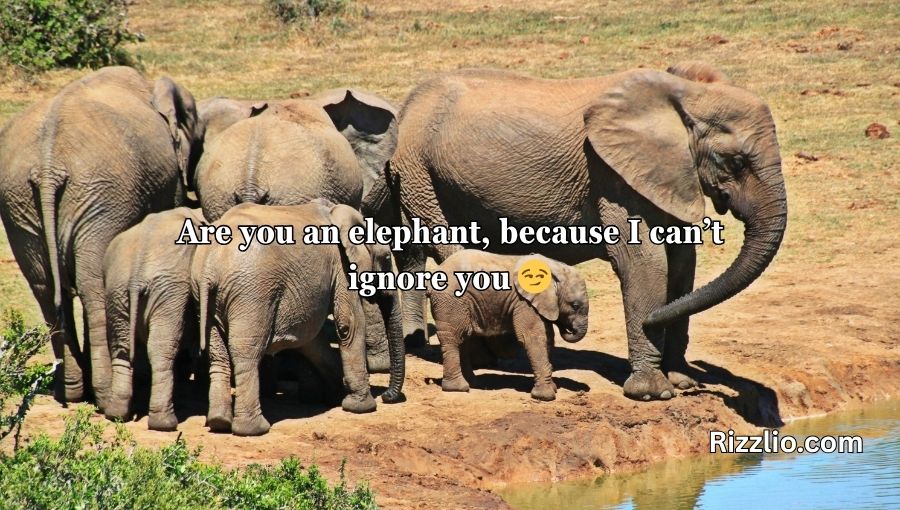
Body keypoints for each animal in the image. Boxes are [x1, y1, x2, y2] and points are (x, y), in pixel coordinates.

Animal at [0, 66, 201, 407]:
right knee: (93, 286)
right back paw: (104, 396)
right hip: (100, 197)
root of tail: (47, 167)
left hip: (21, 204)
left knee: (45, 288)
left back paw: (71, 391)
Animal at [102, 207, 206, 431]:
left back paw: (116, 414)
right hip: (169, 291)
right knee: (161, 350)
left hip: (116, 290)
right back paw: (165, 423)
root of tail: (136, 275)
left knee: (121, 348)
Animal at [190, 201, 404, 436]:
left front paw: (336, 396)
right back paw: (253, 430)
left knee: (218, 354)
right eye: (387, 258)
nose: (388, 397)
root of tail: (210, 266)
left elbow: (312, 340)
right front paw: (361, 407)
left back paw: (218, 422)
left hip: (205, 296)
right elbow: (349, 324)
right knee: (246, 353)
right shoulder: (341, 266)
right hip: (252, 293)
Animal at [428, 251, 588, 401]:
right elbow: (533, 339)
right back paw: (458, 388)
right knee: (454, 338)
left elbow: (548, 338)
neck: (555, 268)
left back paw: (473, 383)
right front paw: (546, 396)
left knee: (464, 338)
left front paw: (553, 388)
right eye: (574, 306)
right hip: (451, 301)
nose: (568, 328)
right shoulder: (524, 302)